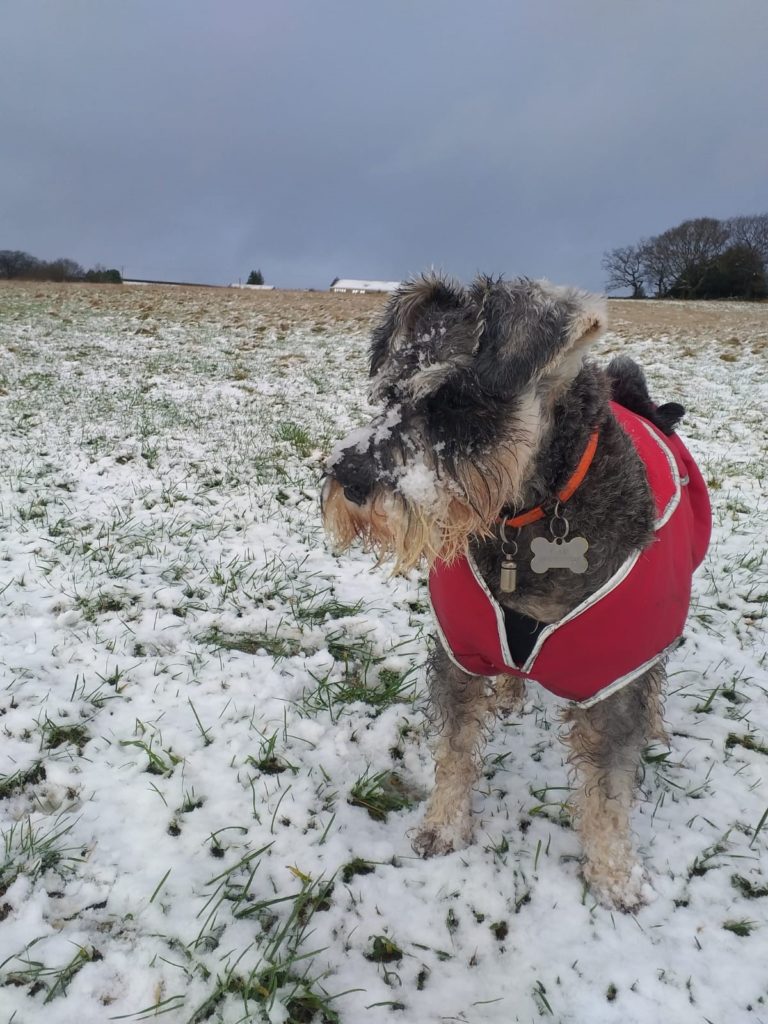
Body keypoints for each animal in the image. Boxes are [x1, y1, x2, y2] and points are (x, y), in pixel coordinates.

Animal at [319, 274, 708, 913]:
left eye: (458, 404)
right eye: (389, 393)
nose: (349, 481)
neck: (528, 515)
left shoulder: (616, 670)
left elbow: (609, 787)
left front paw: (616, 876)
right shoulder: (460, 651)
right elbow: (454, 750)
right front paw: (443, 826)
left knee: (654, 677)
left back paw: (655, 725)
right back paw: (508, 691)